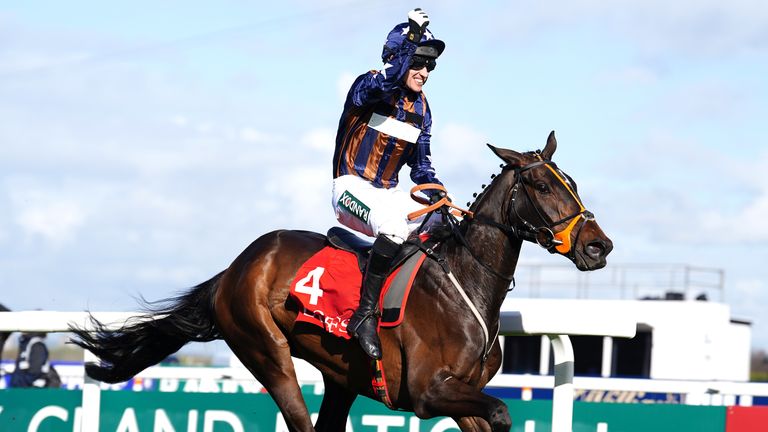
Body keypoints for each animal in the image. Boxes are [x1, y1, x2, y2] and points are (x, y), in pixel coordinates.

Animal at [72, 132, 612, 432]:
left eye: (573, 184)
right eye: (541, 185)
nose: (597, 246)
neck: (464, 287)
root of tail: (235, 268)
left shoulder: (460, 393)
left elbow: (493, 415)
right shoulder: (428, 392)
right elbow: (500, 412)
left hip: (340, 377)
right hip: (267, 352)